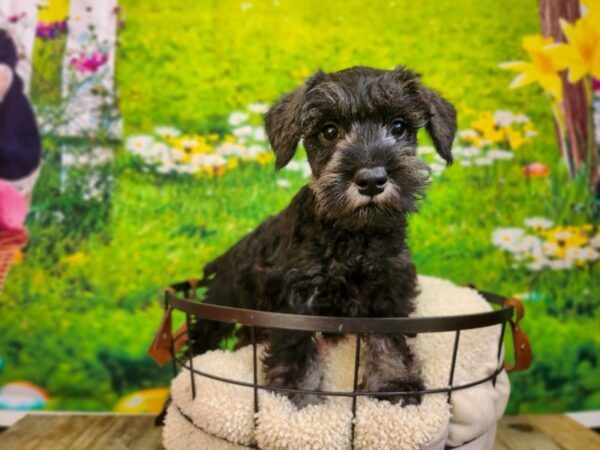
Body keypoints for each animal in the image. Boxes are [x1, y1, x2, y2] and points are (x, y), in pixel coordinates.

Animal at [190, 65, 458, 406]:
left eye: (399, 126)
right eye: (329, 131)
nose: (372, 180)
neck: (355, 236)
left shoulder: (389, 290)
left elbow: (389, 341)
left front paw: (395, 384)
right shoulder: (296, 298)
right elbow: (296, 350)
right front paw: (299, 397)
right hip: (223, 301)